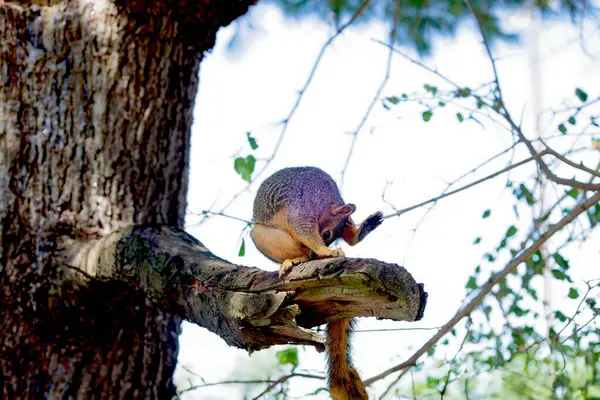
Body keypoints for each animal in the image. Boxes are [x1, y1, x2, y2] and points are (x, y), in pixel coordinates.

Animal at [250, 167, 384, 400]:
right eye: (327, 234)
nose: (324, 249)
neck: (325, 201)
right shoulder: (303, 207)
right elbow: (303, 228)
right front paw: (325, 250)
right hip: (263, 235)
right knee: (299, 250)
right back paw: (298, 258)